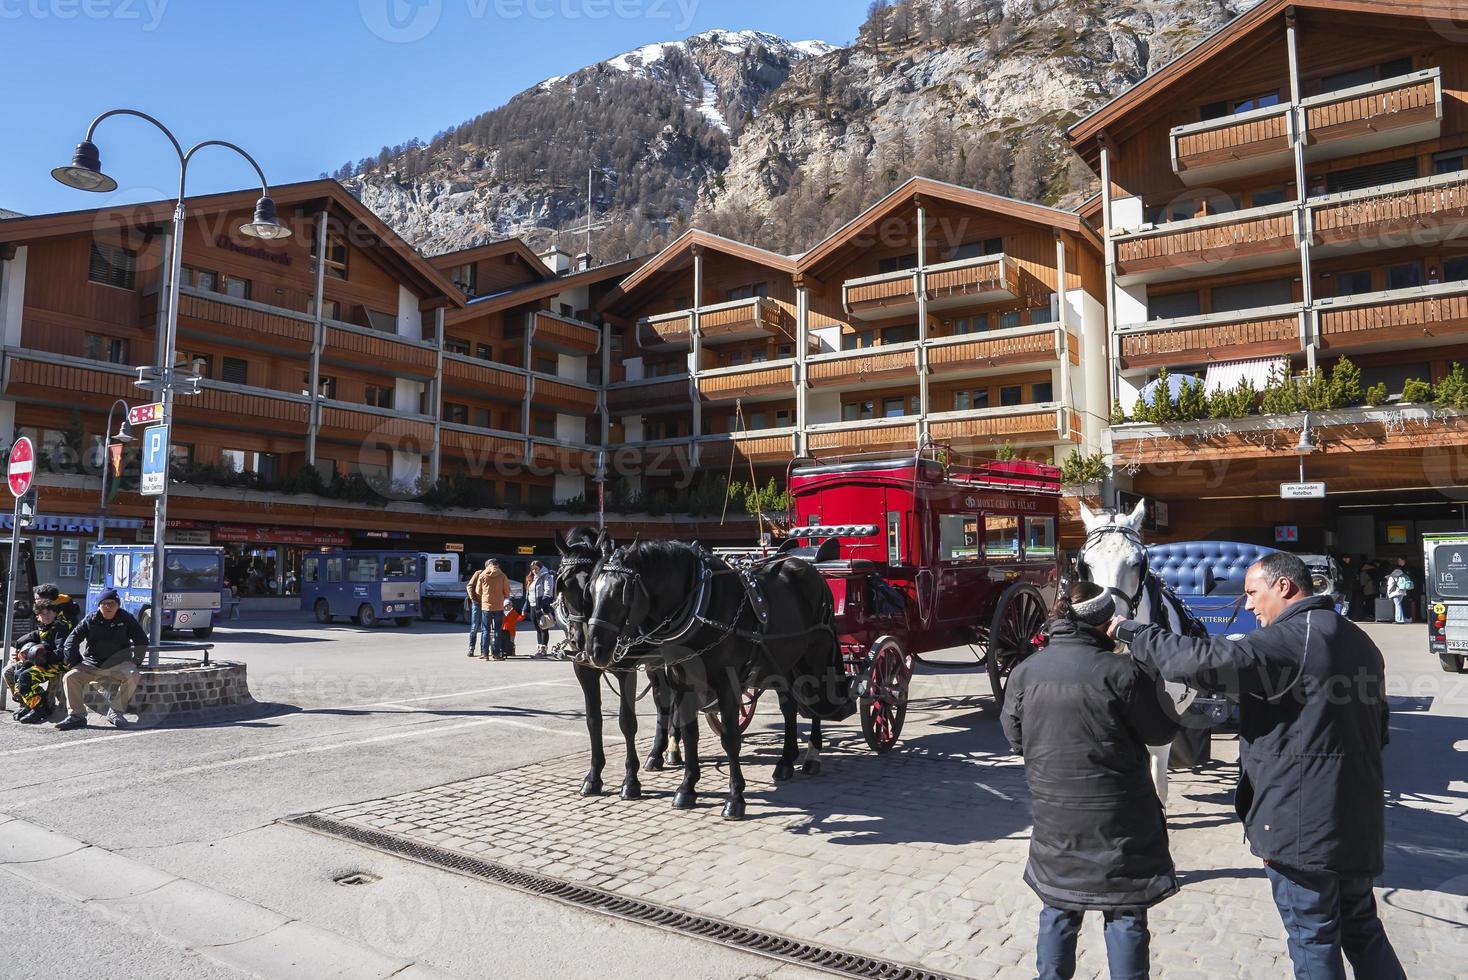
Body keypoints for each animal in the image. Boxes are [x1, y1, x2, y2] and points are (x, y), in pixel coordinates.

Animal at [554, 531, 681, 798]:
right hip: (656, 664)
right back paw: (657, 753)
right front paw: (593, 777)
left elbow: (627, 722)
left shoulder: (626, 670)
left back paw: (674, 748)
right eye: (564, 585)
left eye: (587, 589)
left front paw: (630, 781)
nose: (581, 640)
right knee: (663, 699)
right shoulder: (584, 671)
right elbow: (593, 720)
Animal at [578, 539, 845, 815]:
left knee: (815, 701)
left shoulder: (727, 684)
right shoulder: (683, 683)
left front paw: (735, 797)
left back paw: (812, 755)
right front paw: (687, 788)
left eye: (621, 592)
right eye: (591, 592)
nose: (594, 650)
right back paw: (785, 760)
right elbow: (689, 734)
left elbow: (730, 738)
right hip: (782, 662)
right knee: (789, 707)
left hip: (814, 657)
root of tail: (811, 569)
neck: (701, 606)